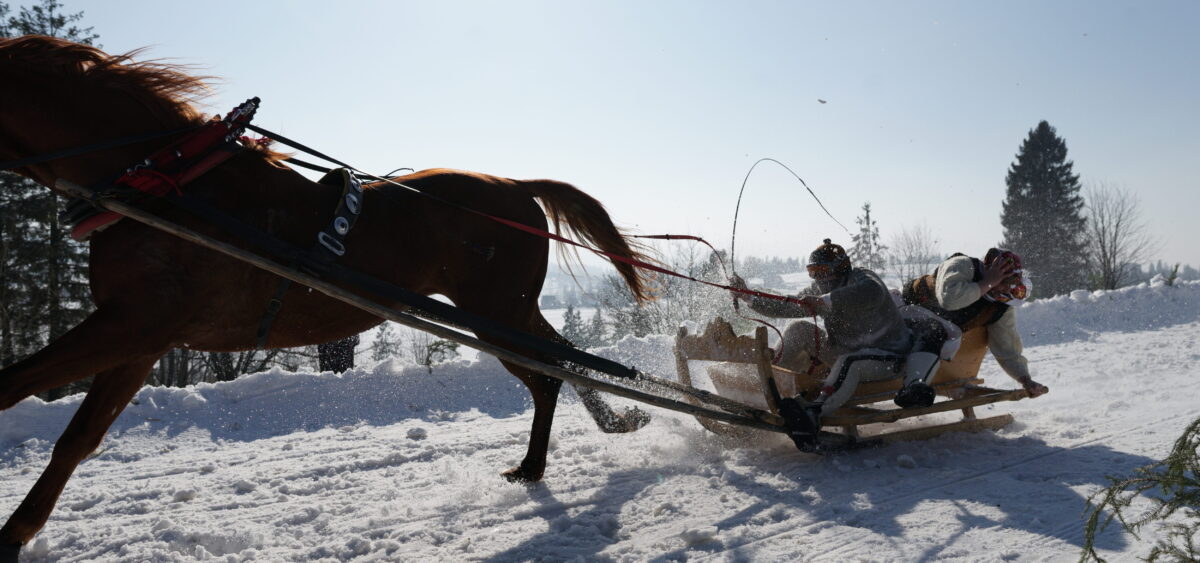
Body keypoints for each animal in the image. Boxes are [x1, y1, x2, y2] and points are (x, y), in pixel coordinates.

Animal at [2, 34, 657, 549]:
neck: (168, 184)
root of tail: (517, 185)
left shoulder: (135, 323)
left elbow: (25, 395)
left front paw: (14, 533)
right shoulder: (141, 337)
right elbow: (77, 436)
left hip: (494, 311)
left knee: (550, 370)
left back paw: (546, 457)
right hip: (504, 311)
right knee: (560, 361)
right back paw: (600, 428)